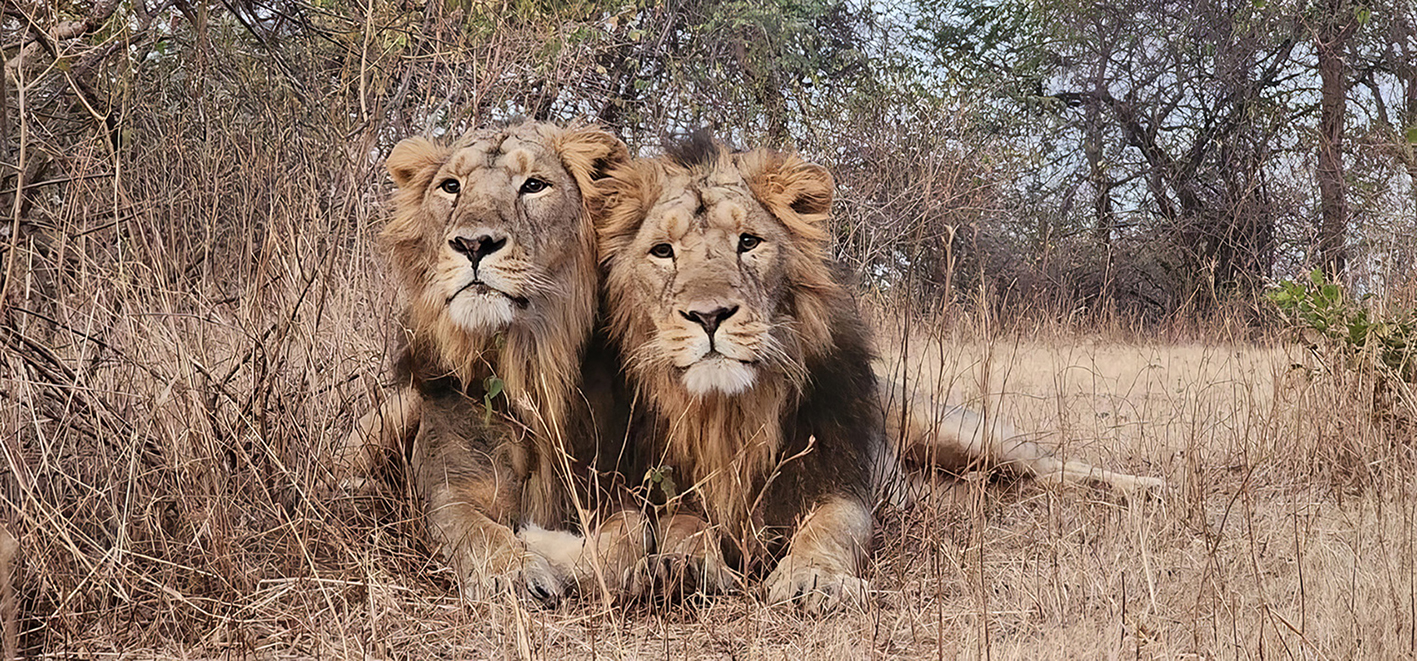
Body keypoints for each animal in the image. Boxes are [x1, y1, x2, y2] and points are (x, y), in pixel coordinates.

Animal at [349, 121, 651, 604]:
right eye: (451, 186)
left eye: (534, 185)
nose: (473, 243)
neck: (523, 364)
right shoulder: (448, 490)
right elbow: (475, 531)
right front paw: (516, 570)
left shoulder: (612, 485)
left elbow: (633, 540)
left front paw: (554, 550)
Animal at [595, 133, 1164, 612]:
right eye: (663, 252)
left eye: (749, 242)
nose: (709, 315)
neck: (731, 414)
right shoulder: (662, 485)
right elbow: (683, 524)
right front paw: (683, 567)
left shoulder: (839, 477)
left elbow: (827, 530)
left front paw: (813, 580)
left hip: (950, 431)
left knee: (1049, 465)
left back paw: (1147, 487)